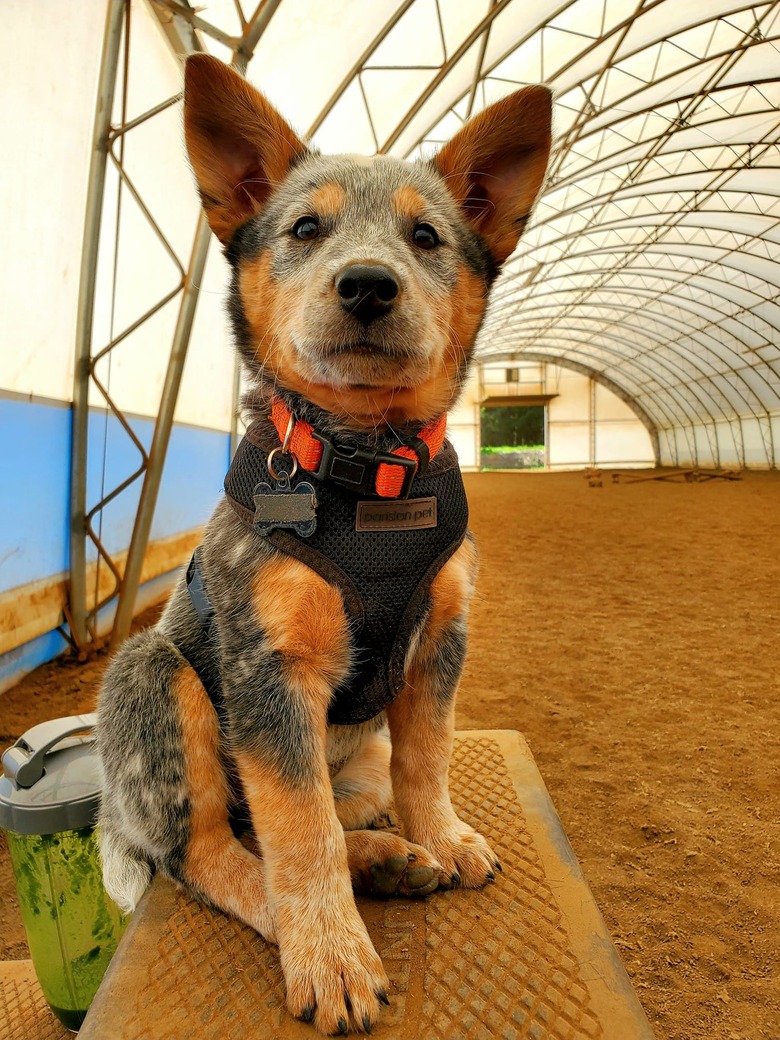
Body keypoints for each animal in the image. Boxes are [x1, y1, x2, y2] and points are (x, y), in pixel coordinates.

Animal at [96, 54, 549, 1031]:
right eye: (305, 227)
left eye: (427, 236)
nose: (369, 283)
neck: (370, 470)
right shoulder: (270, 672)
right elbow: (298, 838)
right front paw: (331, 957)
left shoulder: (441, 641)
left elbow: (428, 759)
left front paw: (440, 835)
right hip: (154, 678)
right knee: (211, 850)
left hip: (358, 757)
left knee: (339, 812)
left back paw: (390, 856)